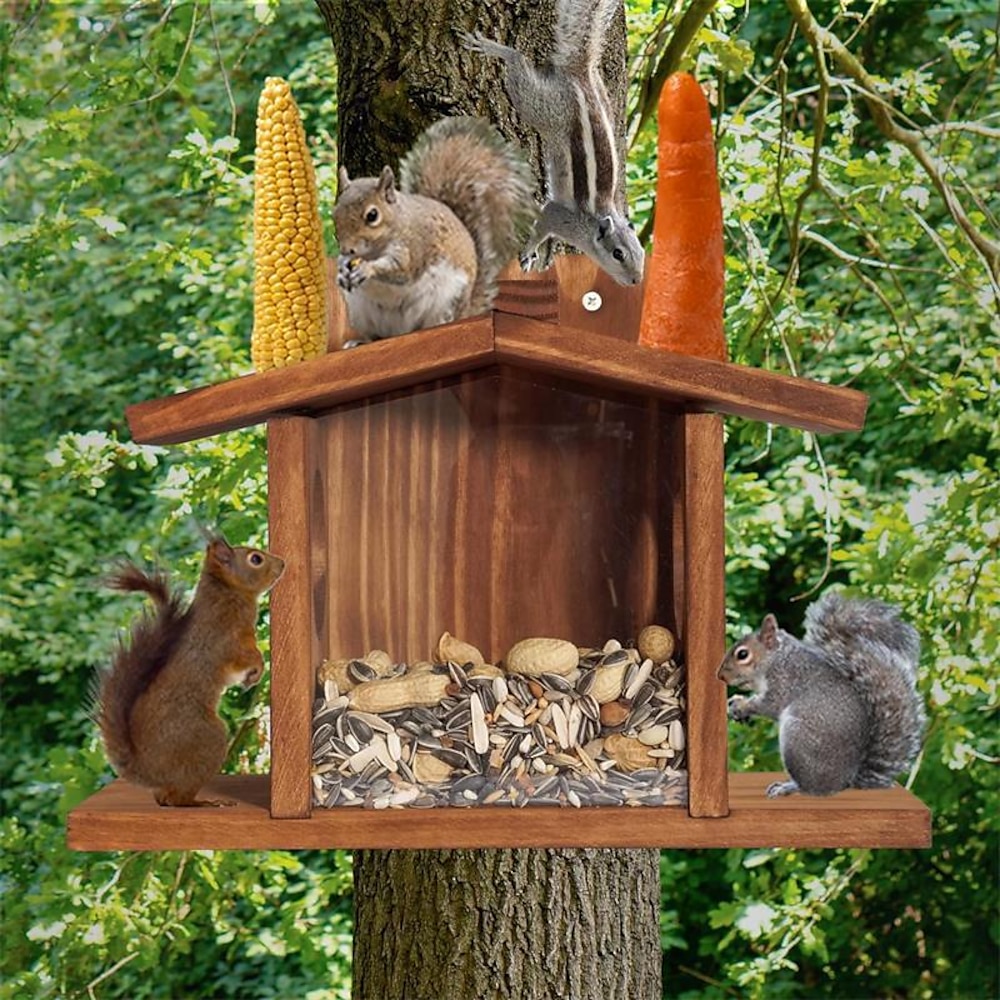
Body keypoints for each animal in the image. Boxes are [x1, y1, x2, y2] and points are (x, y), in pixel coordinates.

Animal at [94, 540, 286, 804]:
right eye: (255, 559)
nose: (283, 563)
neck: (226, 592)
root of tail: (147, 770)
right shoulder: (229, 641)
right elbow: (245, 658)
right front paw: (258, 669)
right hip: (207, 740)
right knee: (178, 799)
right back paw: (205, 803)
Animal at [334, 115, 540, 342]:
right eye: (335, 212)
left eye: (372, 215)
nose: (347, 250)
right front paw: (341, 269)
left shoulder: (414, 247)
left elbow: (401, 269)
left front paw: (367, 269)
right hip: (360, 310)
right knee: (376, 336)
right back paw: (360, 341)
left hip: (446, 303)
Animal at [462, 0, 644, 286]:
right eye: (618, 254)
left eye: (642, 253)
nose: (637, 280)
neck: (593, 222)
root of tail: (581, 75)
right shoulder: (557, 216)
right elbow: (540, 229)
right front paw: (528, 253)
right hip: (543, 109)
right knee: (519, 63)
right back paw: (495, 49)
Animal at [720, 592, 920, 796]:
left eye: (742, 654)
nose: (720, 676)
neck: (776, 658)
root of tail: (846, 781)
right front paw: (735, 701)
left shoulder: (785, 681)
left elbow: (769, 705)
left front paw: (742, 705)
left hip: (797, 738)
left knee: (811, 787)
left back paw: (787, 787)